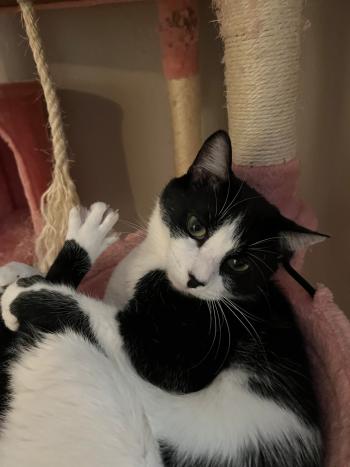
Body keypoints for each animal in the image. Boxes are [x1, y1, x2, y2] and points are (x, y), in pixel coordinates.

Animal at [0, 133, 326, 467]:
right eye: (196, 227)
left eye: (238, 264)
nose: (196, 278)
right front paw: (22, 272)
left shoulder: (199, 345)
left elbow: (112, 327)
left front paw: (26, 292)